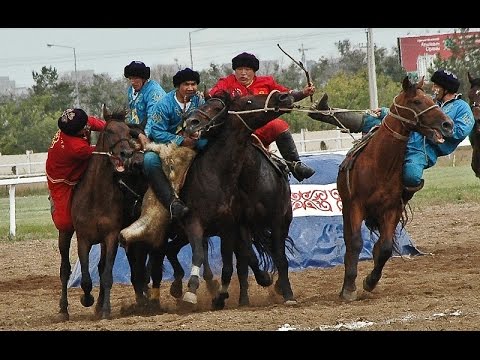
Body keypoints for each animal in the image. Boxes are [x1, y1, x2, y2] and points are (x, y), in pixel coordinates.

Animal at [338, 77, 454, 302]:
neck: (380, 164)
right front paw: (349, 288)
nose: (448, 124)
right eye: (417, 101)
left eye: (431, 98)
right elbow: (355, 243)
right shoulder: (356, 205)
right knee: (349, 241)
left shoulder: (391, 209)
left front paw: (370, 281)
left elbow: (384, 248)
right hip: (347, 209)